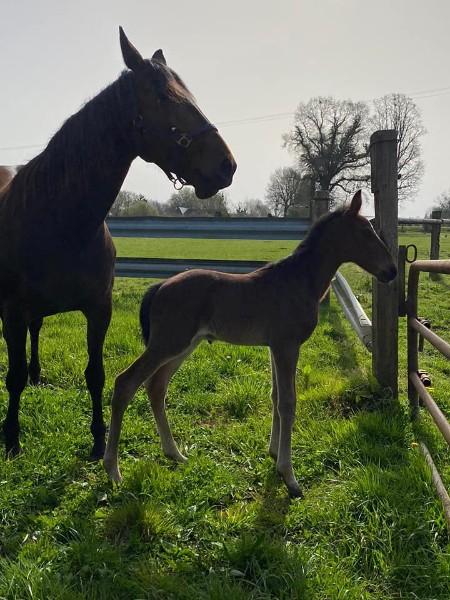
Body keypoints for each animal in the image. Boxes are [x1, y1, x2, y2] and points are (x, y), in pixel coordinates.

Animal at [0, 28, 237, 458]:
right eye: (164, 97)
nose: (226, 165)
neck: (62, 224)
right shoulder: (12, 311)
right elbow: (13, 378)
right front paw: (11, 438)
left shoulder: (99, 309)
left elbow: (95, 373)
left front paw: (97, 440)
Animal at [103, 192, 396, 496]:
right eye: (366, 232)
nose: (392, 270)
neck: (298, 281)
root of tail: (159, 287)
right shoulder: (287, 346)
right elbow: (288, 402)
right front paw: (289, 476)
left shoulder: (275, 347)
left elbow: (276, 397)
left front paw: (275, 454)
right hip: (167, 343)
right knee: (126, 382)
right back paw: (113, 469)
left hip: (182, 346)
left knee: (156, 386)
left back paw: (174, 453)